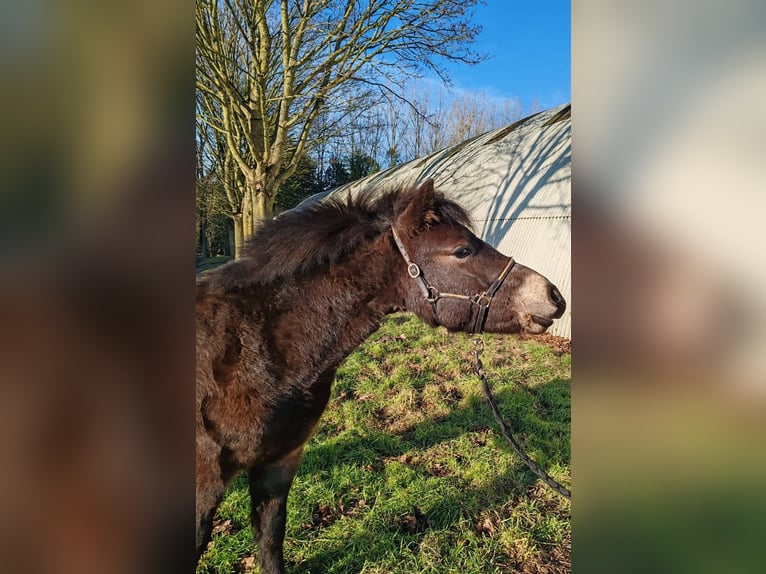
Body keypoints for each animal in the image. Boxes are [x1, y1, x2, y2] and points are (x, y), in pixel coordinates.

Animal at [196, 180, 564, 572]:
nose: (554, 296)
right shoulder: (205, 481)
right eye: (462, 250)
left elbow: (270, 540)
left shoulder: (279, 462)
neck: (256, 346)